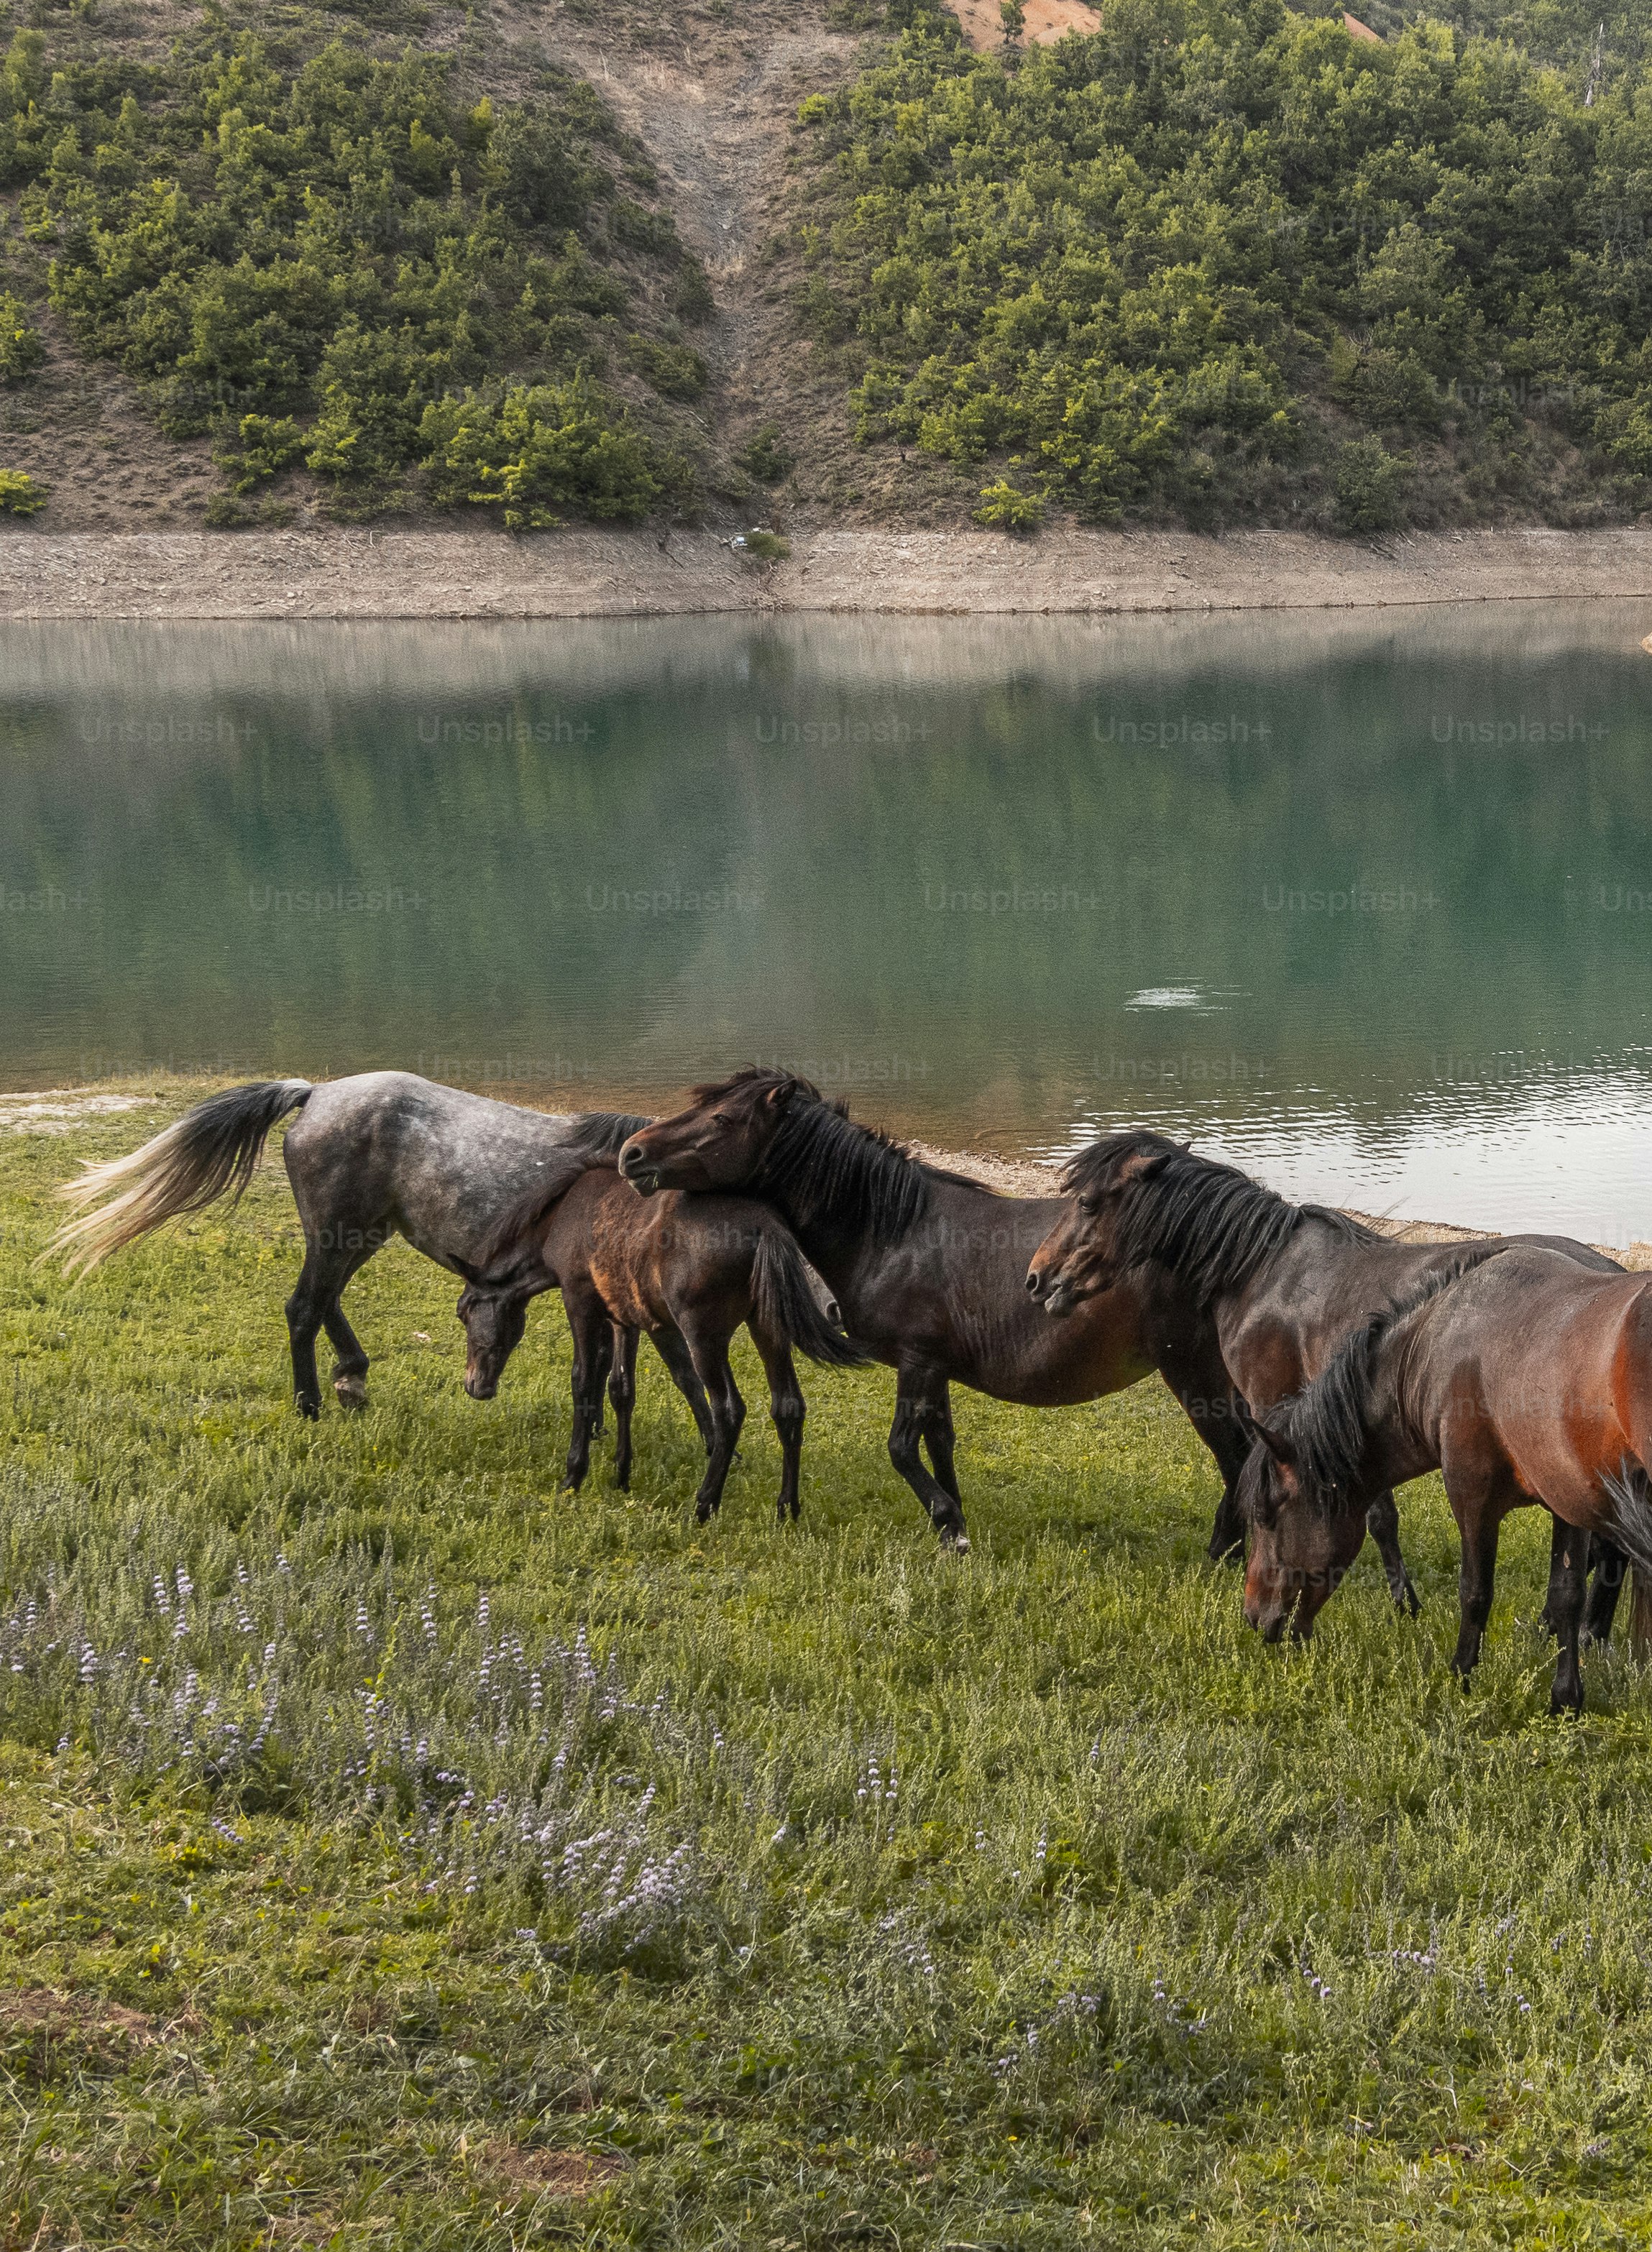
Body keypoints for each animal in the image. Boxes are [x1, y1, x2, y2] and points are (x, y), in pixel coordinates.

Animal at [48, 1072, 646, 1418]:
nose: (479, 1387)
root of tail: (314, 1094)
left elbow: (621, 1378)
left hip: (361, 1233)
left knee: (325, 1299)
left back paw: (351, 1379)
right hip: (340, 1234)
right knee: (304, 1307)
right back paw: (310, 1406)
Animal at [457, 1166, 868, 1521]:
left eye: (463, 1312)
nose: (474, 1385)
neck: (563, 1215)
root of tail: (763, 1225)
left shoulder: (581, 1304)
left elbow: (583, 1384)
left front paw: (573, 1476)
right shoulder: (624, 1320)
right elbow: (621, 1389)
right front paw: (621, 1474)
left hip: (703, 1336)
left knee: (729, 1410)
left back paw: (704, 1505)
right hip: (767, 1328)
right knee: (788, 1406)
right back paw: (787, 1509)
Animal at [603, 1070, 1250, 1552]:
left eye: (722, 1120)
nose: (632, 1153)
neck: (893, 1231)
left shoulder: (916, 1363)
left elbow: (900, 1449)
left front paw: (948, 1524)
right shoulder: (936, 1368)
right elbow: (940, 1444)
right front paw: (954, 1522)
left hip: (1193, 1374)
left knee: (1238, 1458)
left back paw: (1225, 1551)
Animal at [1022, 1130, 1630, 1628]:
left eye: (1086, 1202)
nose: (1037, 1277)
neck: (1263, 1271)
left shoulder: (1278, 1408)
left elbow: (1367, 1513)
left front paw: (1401, 1601)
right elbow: (1379, 1511)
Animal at [1236, 1247, 1652, 1714]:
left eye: (1266, 1516)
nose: (1253, 1616)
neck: (1439, 1348)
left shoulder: (1471, 1496)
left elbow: (1474, 1591)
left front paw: (1461, 1678)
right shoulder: (1566, 1504)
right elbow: (1566, 1596)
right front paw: (1565, 1701)